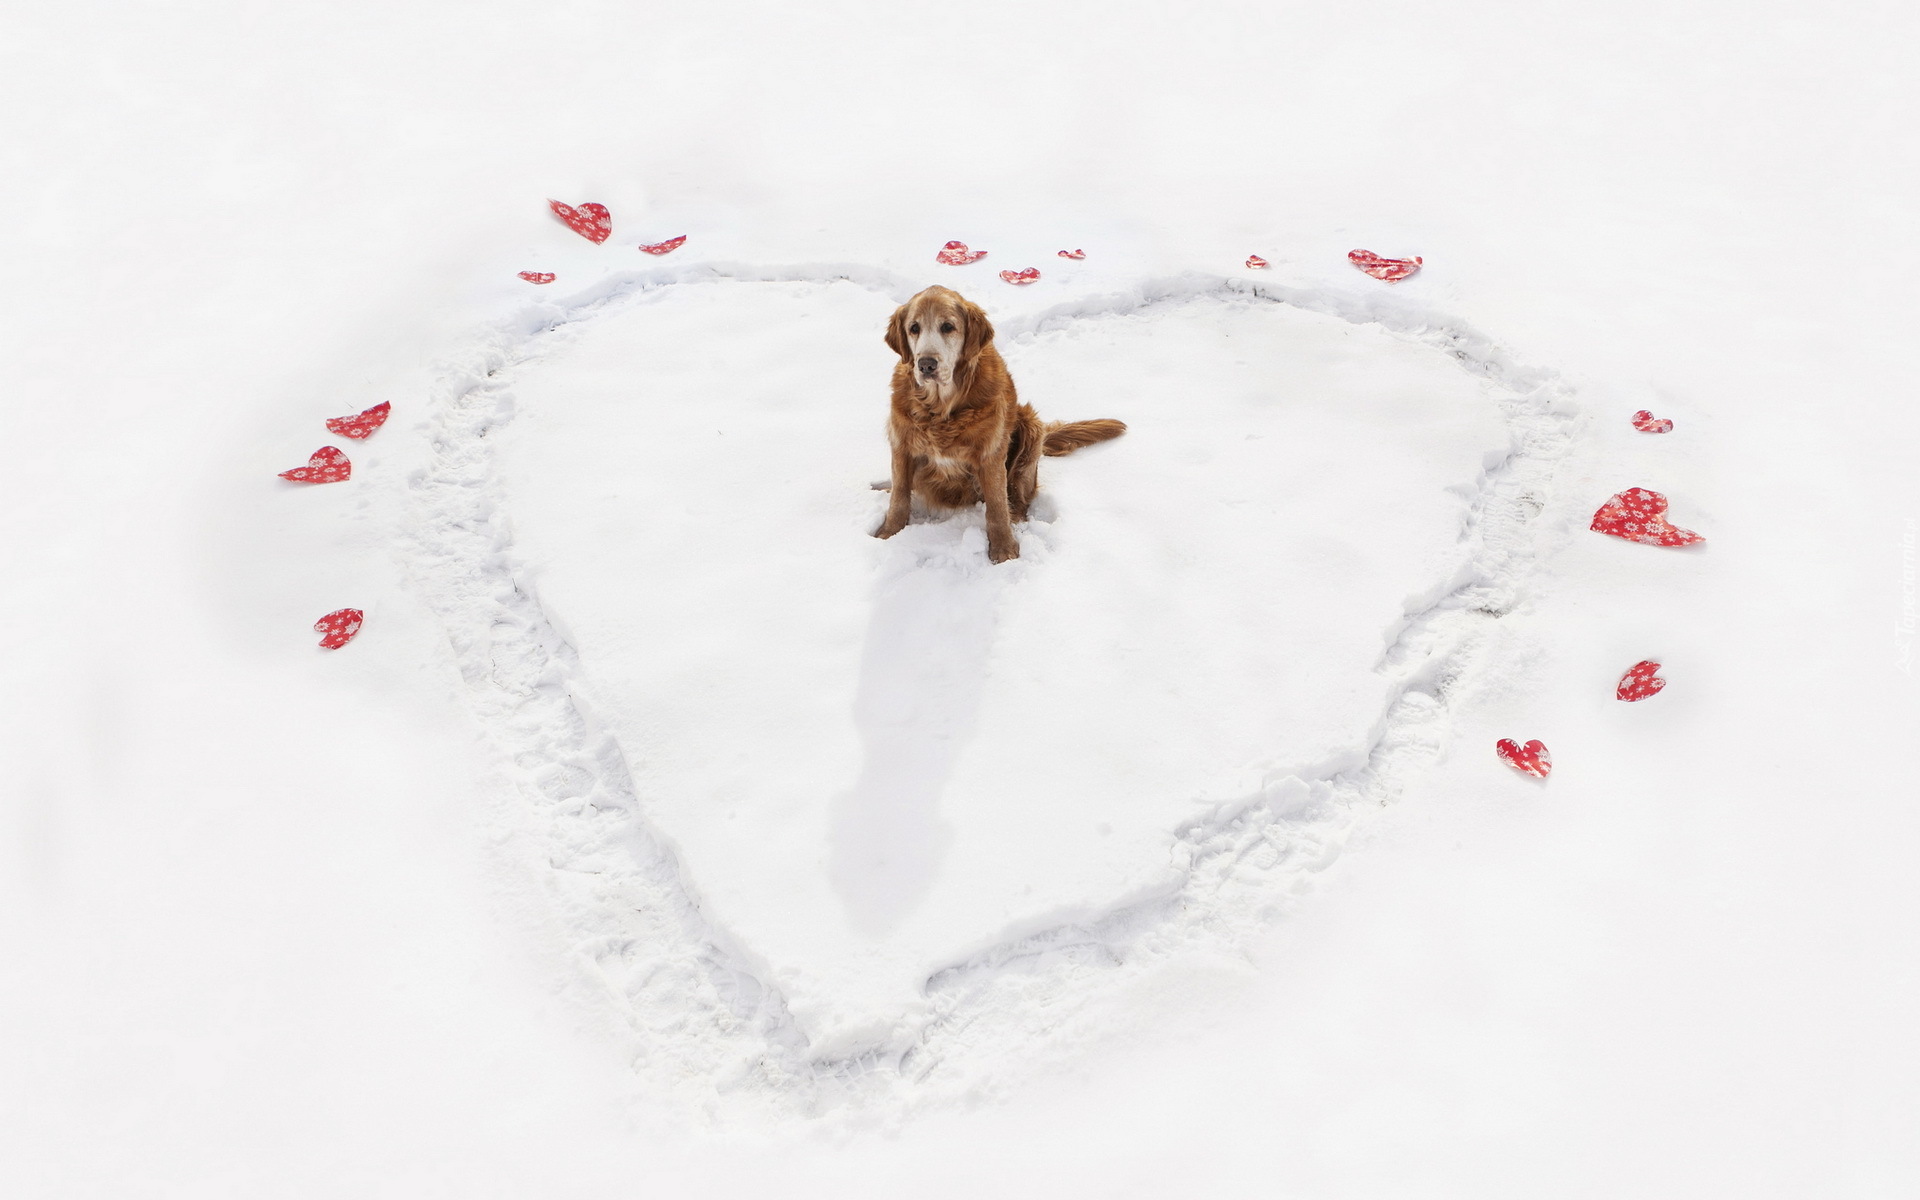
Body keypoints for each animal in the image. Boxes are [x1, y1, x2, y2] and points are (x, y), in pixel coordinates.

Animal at [875, 286, 1121, 560]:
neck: (942, 409)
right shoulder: (902, 445)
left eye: (948, 326)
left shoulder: (990, 454)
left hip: (1030, 428)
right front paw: (888, 533)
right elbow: (899, 494)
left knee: (1018, 497)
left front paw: (1003, 550)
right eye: (914, 328)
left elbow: (996, 505)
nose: (926, 364)